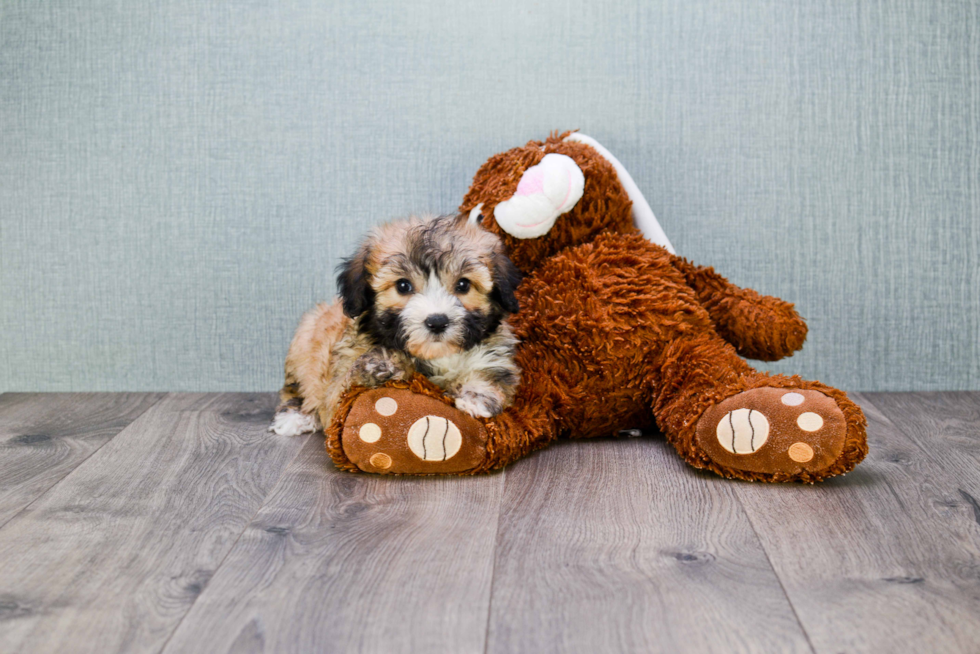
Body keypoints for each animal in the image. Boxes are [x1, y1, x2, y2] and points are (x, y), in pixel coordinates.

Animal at [272, 215, 524, 440]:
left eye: (463, 284)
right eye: (403, 286)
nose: (437, 321)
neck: (434, 356)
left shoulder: (493, 355)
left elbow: (492, 376)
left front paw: (476, 397)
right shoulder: (336, 393)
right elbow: (341, 394)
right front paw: (380, 366)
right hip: (305, 338)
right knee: (295, 389)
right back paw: (294, 418)